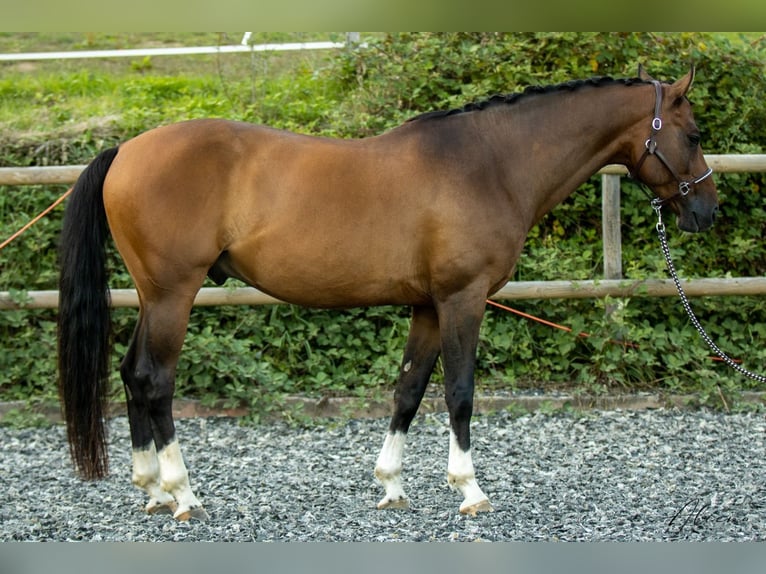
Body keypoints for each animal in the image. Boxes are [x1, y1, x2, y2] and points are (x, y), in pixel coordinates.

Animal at [58, 66, 720, 520]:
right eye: (692, 134)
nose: (707, 212)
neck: (489, 162)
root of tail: (126, 149)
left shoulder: (427, 305)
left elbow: (408, 390)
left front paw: (391, 485)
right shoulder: (463, 299)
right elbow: (458, 394)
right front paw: (469, 490)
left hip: (153, 297)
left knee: (130, 373)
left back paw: (150, 489)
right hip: (174, 294)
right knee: (154, 380)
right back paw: (182, 494)